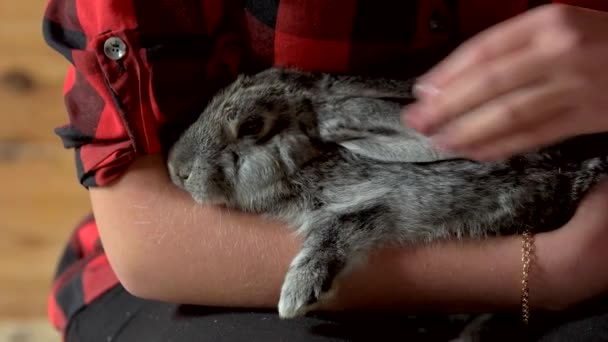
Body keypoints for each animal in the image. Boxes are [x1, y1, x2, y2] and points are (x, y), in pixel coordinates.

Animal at [165, 66, 608, 318]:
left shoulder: (385, 202)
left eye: (252, 126)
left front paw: (296, 294)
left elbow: (337, 231)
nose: (176, 169)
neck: (315, 160)